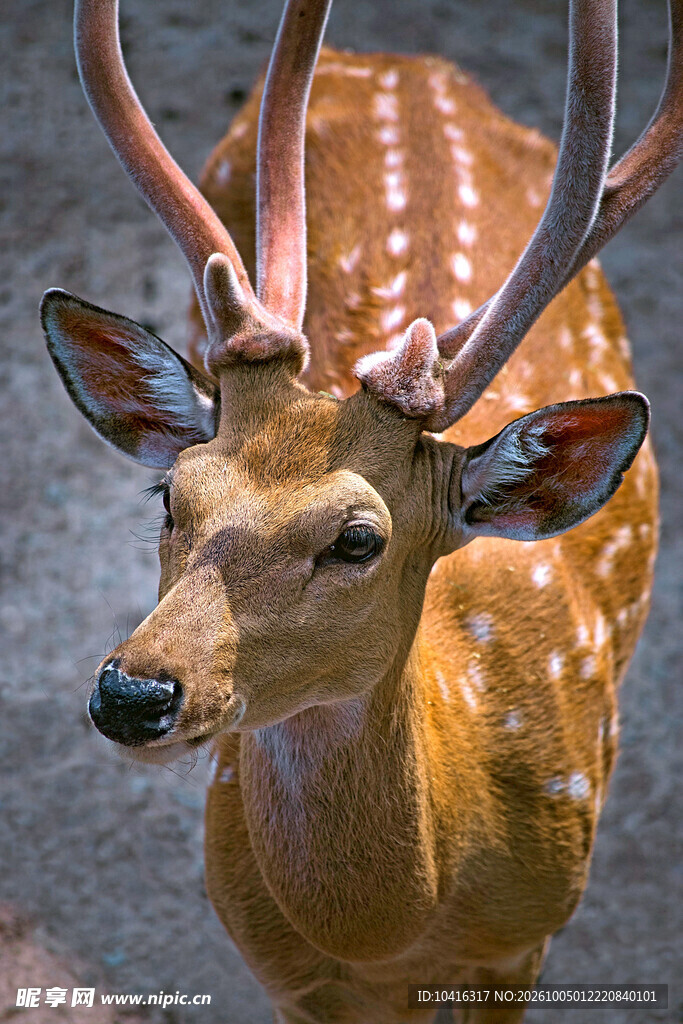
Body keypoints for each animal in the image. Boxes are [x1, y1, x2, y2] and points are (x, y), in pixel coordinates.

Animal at [41, 0, 682, 1020]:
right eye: (171, 493)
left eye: (357, 539)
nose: (132, 693)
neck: (389, 934)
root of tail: (406, 60)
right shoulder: (278, 967)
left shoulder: (527, 939)